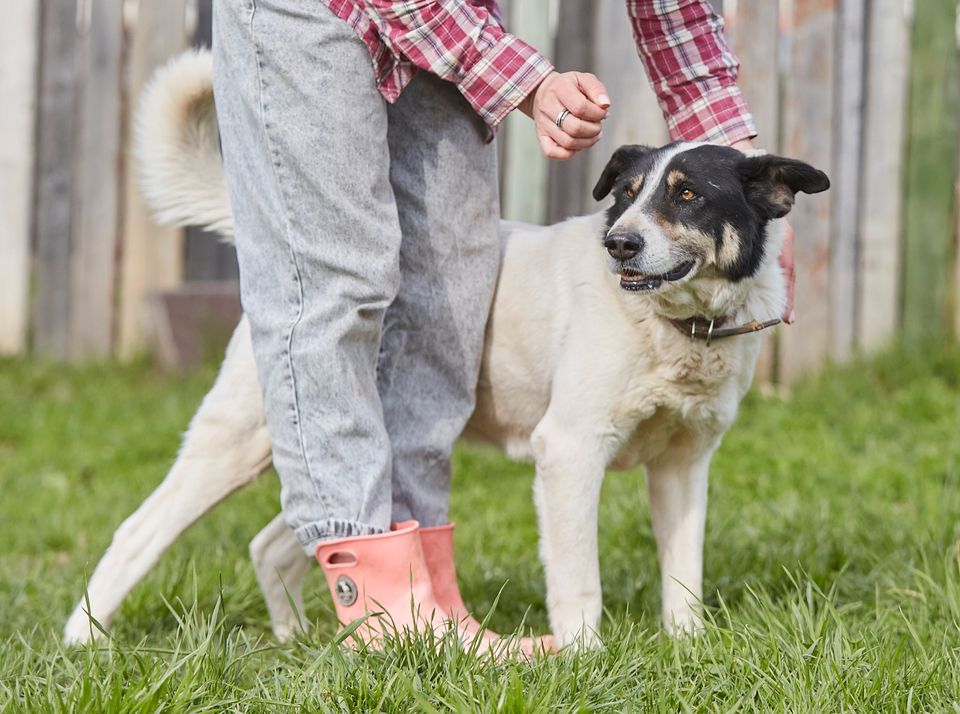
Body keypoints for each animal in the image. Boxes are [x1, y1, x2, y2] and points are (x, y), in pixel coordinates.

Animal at [65, 51, 824, 644]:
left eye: (689, 195)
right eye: (628, 195)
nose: (619, 244)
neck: (675, 331)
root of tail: (295, 265)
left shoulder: (683, 466)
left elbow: (684, 577)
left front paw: (687, 648)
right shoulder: (569, 452)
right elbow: (578, 581)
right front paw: (582, 658)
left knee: (284, 542)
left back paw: (299, 638)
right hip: (236, 439)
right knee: (138, 533)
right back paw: (84, 638)